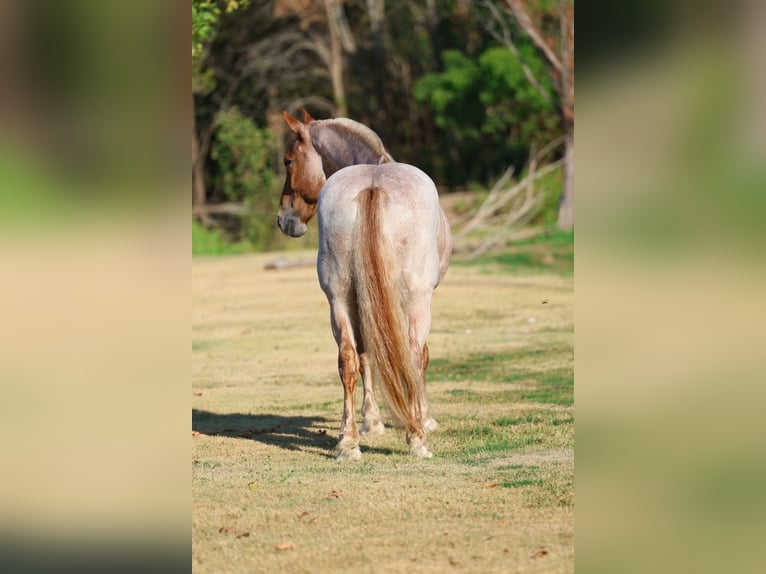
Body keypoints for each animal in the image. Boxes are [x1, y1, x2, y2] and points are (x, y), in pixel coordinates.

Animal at [276, 110, 452, 460]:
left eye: (289, 161)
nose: (283, 218)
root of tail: (373, 185)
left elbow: (366, 355)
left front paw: (371, 421)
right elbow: (419, 356)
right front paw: (423, 417)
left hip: (339, 298)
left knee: (347, 359)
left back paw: (348, 442)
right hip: (416, 300)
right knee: (413, 355)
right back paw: (417, 438)